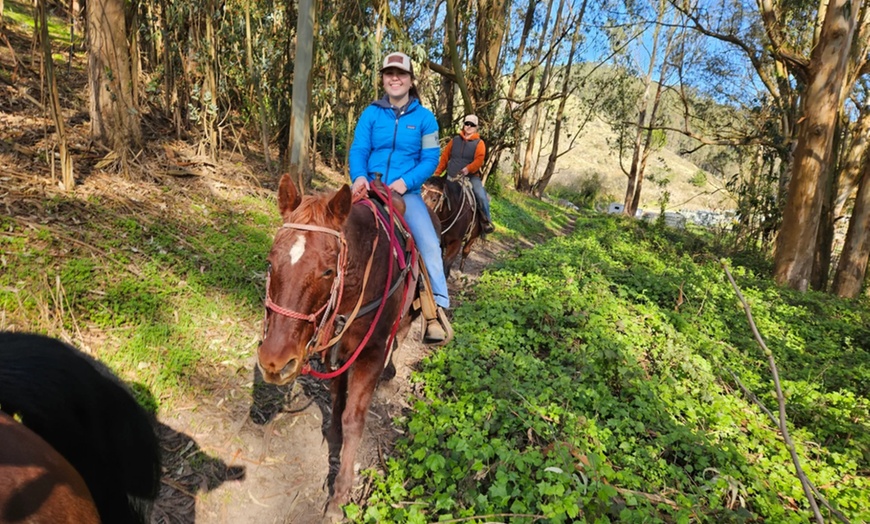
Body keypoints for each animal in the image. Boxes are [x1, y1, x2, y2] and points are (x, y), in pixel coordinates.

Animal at [257, 174, 421, 519]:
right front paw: (332, 434)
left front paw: (340, 493)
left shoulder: (370, 354)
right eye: (270, 262)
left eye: (328, 270)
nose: (274, 361)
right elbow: (336, 397)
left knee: (403, 331)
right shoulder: (334, 348)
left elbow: (353, 418)